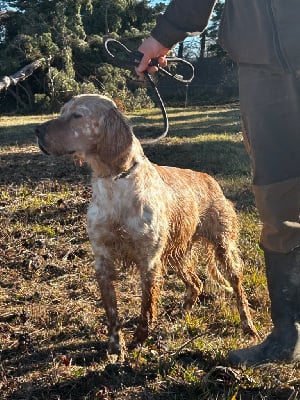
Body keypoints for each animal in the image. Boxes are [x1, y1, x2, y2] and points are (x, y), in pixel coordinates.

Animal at [35, 94, 258, 360]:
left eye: (77, 115)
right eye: (62, 112)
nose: (37, 130)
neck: (115, 183)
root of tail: (210, 180)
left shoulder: (149, 260)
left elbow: (147, 309)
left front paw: (138, 341)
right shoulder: (103, 260)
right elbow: (112, 313)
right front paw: (115, 347)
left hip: (223, 248)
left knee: (237, 288)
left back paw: (248, 326)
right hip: (177, 255)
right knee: (196, 283)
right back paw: (180, 317)